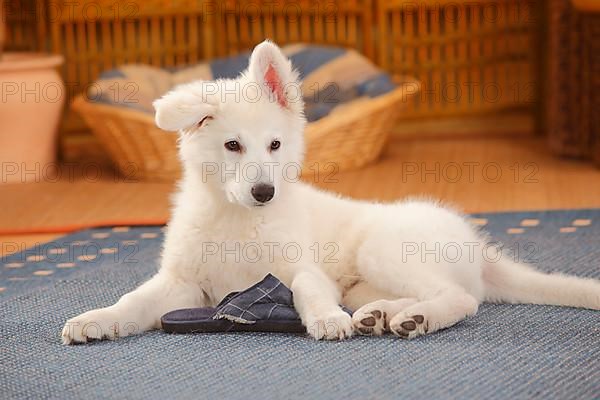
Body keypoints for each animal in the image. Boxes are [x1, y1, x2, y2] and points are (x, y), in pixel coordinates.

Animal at [62, 41, 600, 344]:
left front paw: (323, 319)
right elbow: (133, 301)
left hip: (385, 250)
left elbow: (308, 289)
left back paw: (415, 318)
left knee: (462, 299)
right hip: (367, 280)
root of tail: (476, 244)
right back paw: (385, 316)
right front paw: (96, 319)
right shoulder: (182, 283)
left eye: (275, 145)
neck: (239, 220)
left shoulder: (300, 267)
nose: (264, 191)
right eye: (233, 145)